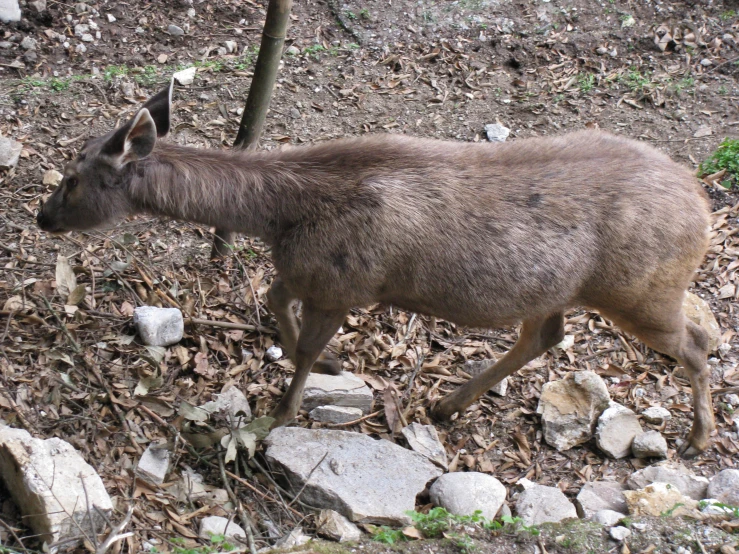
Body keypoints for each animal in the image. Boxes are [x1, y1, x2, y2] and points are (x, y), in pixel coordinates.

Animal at [36, 81, 716, 452]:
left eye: (71, 179)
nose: (42, 217)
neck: (282, 215)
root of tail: (704, 206)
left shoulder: (345, 283)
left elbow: (302, 348)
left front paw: (277, 416)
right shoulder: (313, 273)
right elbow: (276, 299)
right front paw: (331, 365)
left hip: (641, 289)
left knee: (698, 341)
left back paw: (700, 437)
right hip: (559, 291)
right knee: (547, 333)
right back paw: (448, 404)